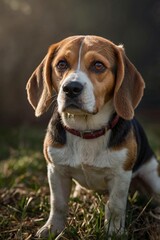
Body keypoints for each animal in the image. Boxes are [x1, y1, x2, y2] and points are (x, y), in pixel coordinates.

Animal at [25, 35, 159, 238]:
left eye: (98, 65)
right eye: (61, 64)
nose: (71, 88)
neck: (86, 131)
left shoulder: (121, 175)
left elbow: (115, 207)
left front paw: (114, 233)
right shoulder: (56, 170)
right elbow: (58, 204)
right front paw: (52, 229)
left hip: (153, 176)